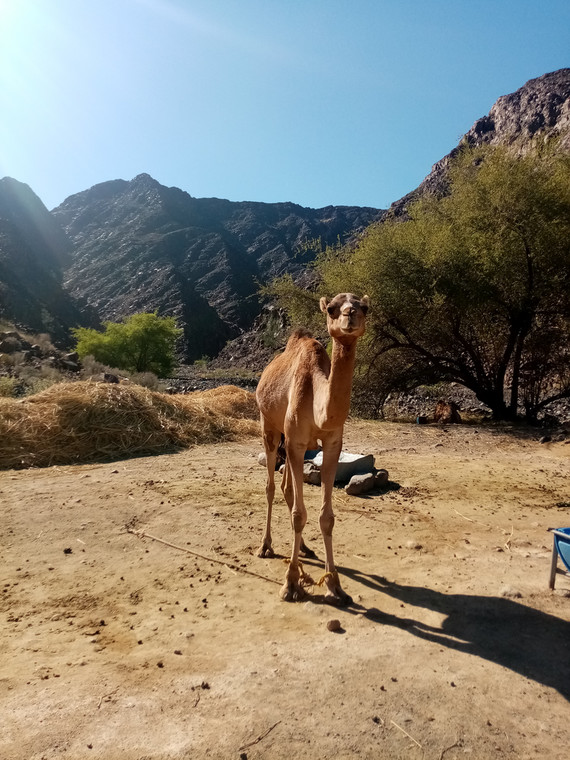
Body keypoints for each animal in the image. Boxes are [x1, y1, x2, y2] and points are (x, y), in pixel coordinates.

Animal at [254, 292, 368, 604]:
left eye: (366, 307)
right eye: (331, 309)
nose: (351, 314)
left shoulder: (331, 444)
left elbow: (325, 517)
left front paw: (335, 584)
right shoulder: (295, 440)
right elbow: (298, 514)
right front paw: (291, 582)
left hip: (290, 440)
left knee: (285, 488)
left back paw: (304, 548)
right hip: (270, 427)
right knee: (271, 487)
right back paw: (265, 546)